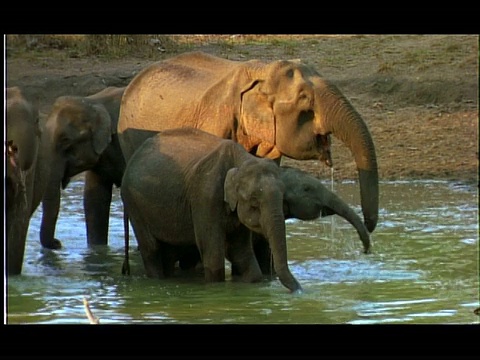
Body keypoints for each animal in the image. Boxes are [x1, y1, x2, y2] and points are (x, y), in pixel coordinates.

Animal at [120, 126, 300, 292]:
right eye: (254, 203)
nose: (299, 290)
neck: (240, 160)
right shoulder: (205, 197)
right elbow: (214, 256)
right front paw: (216, 288)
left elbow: (241, 252)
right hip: (134, 204)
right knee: (152, 249)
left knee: (169, 251)